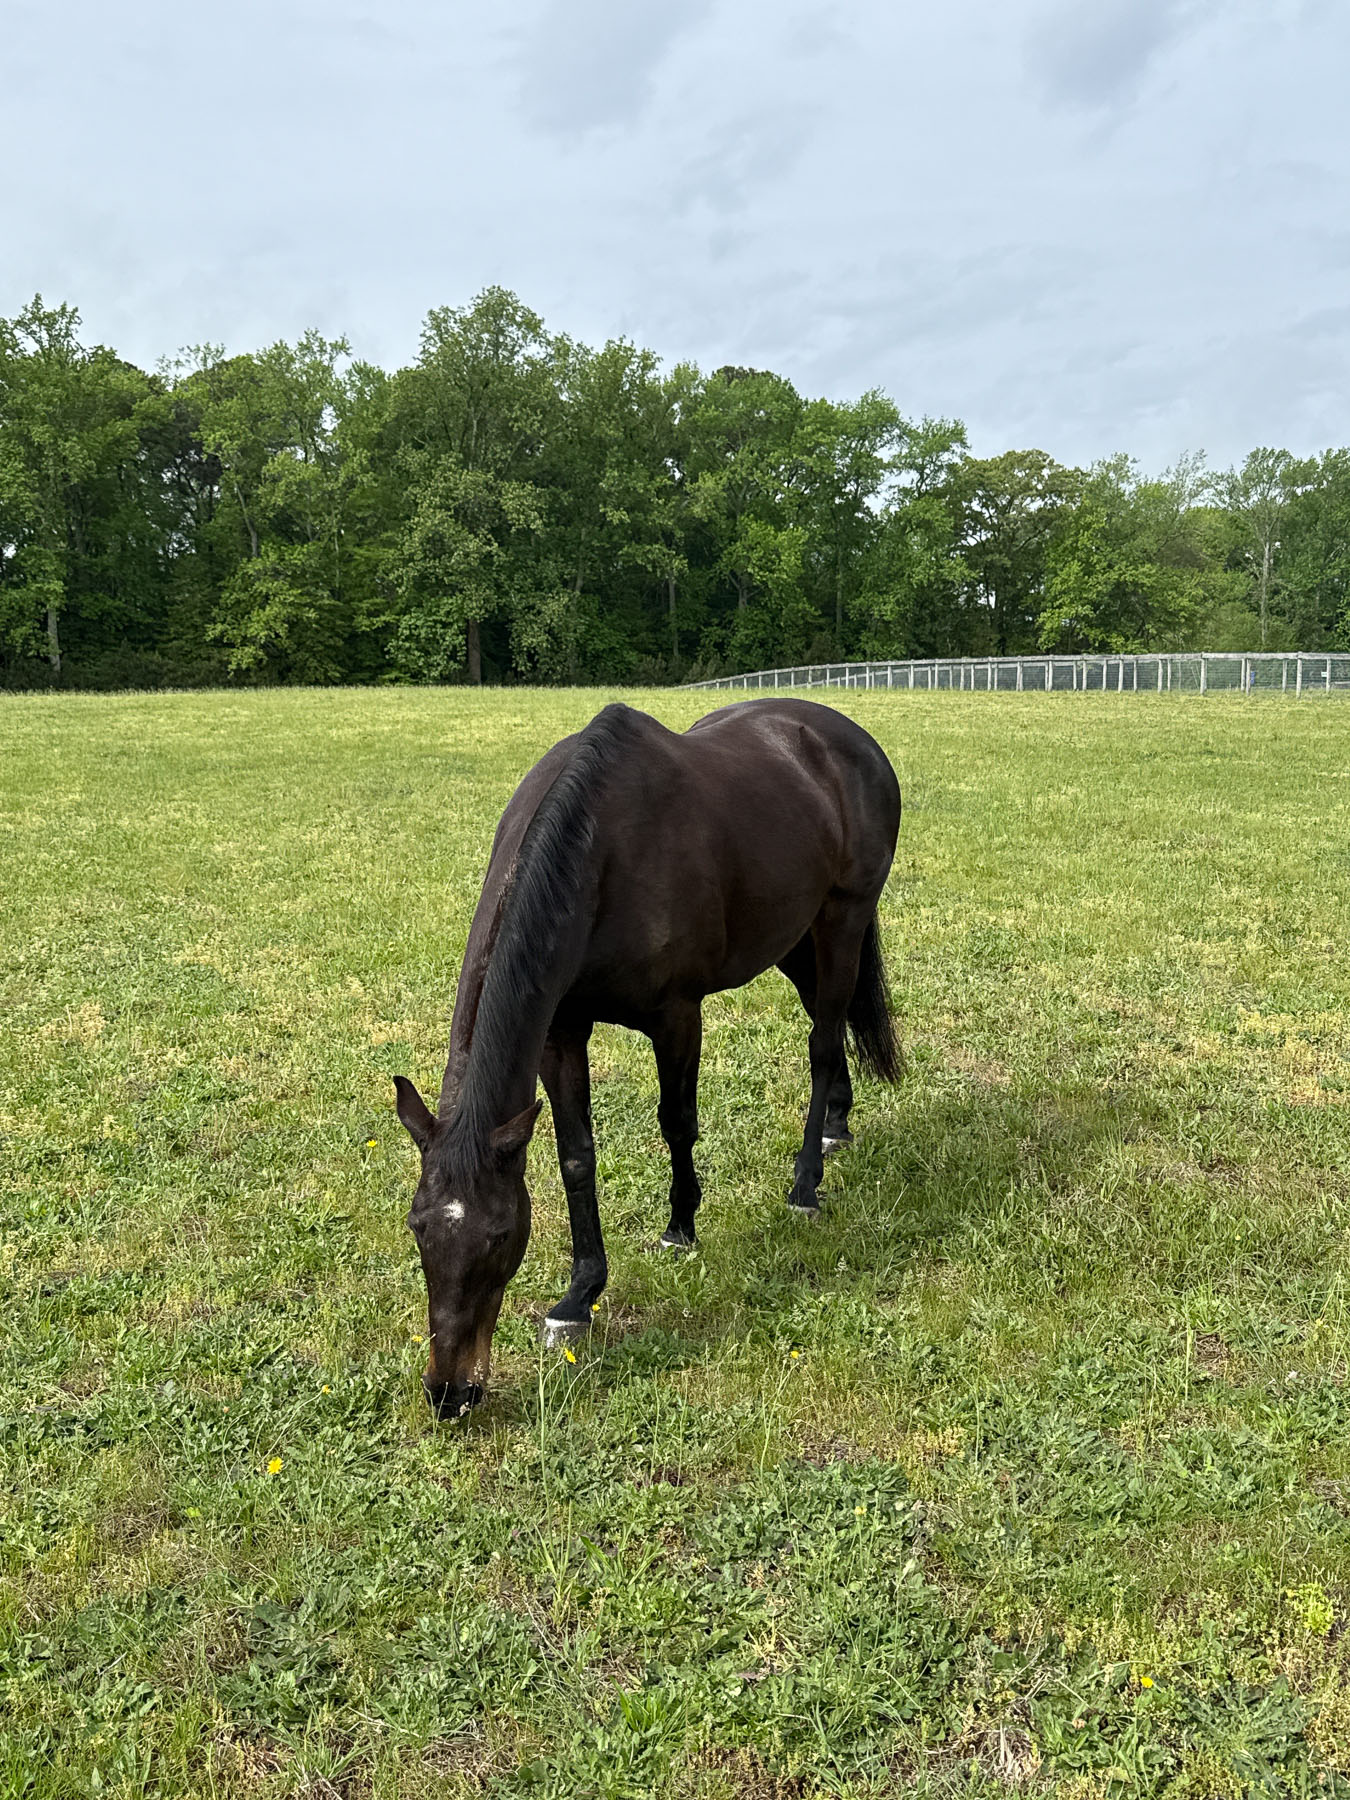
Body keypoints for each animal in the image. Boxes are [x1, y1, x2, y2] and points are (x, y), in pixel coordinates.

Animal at [393, 698, 902, 1418]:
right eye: (418, 1228)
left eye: (499, 1233)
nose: (450, 1392)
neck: (596, 852)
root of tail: (847, 737)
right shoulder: (561, 1032)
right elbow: (576, 1157)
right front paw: (578, 1297)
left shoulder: (677, 1015)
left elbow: (677, 1124)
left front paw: (680, 1228)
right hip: (794, 935)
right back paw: (836, 1126)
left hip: (842, 921)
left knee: (825, 1043)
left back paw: (806, 1184)